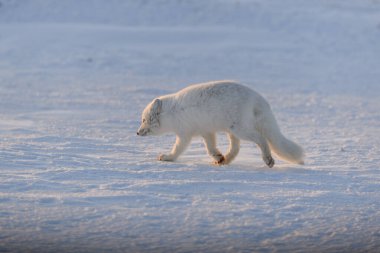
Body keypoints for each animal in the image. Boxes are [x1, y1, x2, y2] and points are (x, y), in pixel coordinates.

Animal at [137, 81, 302, 168]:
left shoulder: (185, 134)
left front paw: (167, 157)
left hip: (240, 128)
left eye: (144, 120)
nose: (137, 132)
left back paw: (268, 159)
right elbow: (210, 147)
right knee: (236, 148)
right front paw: (218, 156)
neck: (171, 112)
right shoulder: (206, 131)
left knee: (261, 139)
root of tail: (257, 98)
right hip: (232, 130)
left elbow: (178, 148)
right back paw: (224, 160)